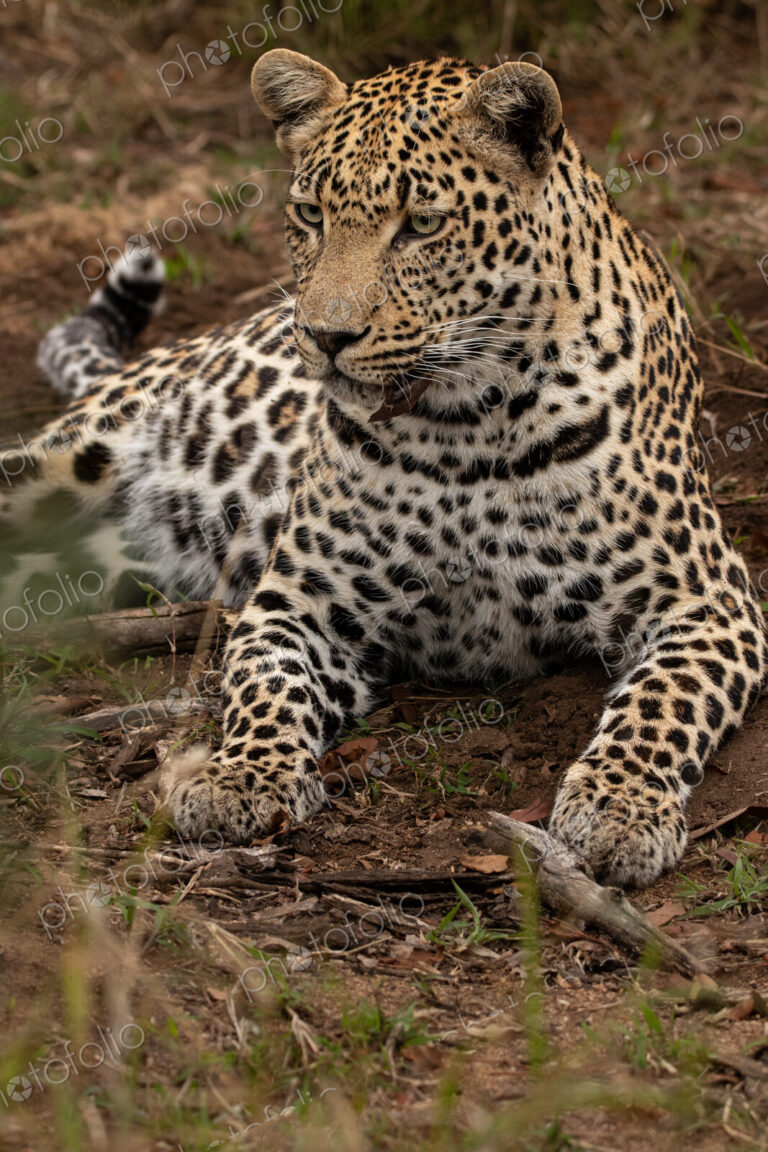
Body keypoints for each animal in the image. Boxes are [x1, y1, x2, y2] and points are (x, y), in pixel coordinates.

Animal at [2, 50, 765, 888]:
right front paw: (241, 777)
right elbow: (266, 690)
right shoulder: (298, 603)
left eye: (422, 225)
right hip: (58, 462)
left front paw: (620, 806)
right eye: (311, 216)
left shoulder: (708, 602)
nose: (325, 336)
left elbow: (662, 704)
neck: (466, 428)